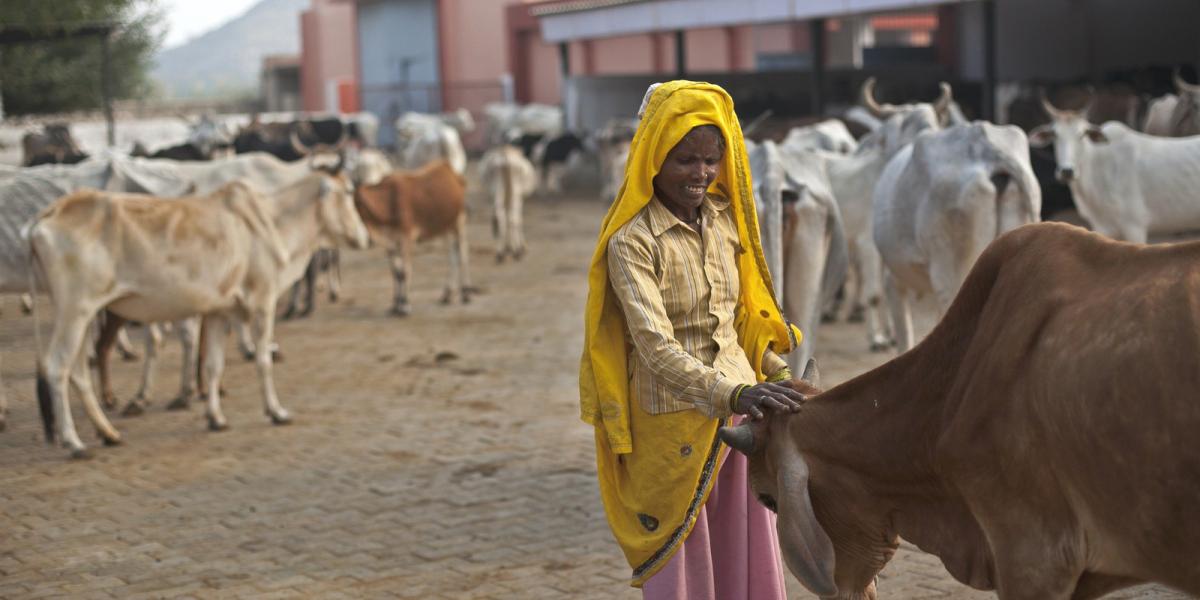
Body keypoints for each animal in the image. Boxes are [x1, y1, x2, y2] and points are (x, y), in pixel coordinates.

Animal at [30, 171, 367, 456]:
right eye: (348, 193)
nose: (363, 236)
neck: (269, 222)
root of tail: (50, 213)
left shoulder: (219, 312)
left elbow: (213, 366)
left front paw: (216, 418)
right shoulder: (262, 303)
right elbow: (263, 361)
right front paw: (277, 412)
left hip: (85, 316)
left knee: (78, 371)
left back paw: (108, 433)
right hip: (75, 311)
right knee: (57, 367)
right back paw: (74, 442)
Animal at [350, 159, 468, 319]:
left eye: (359, 205)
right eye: (355, 205)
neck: (389, 200)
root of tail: (447, 167)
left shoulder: (406, 239)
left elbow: (405, 272)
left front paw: (405, 306)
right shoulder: (391, 244)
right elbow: (396, 273)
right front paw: (395, 306)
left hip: (459, 221)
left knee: (462, 253)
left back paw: (466, 294)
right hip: (446, 226)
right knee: (452, 256)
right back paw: (447, 295)